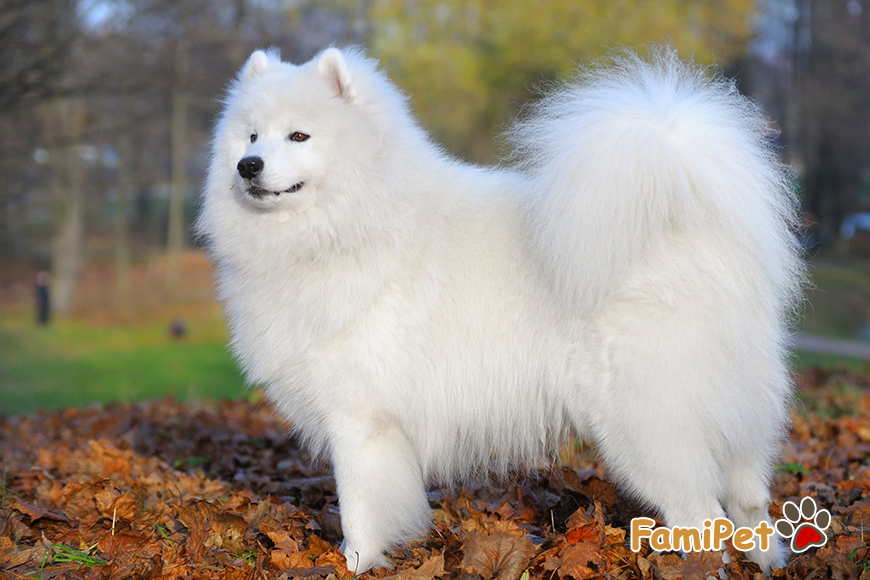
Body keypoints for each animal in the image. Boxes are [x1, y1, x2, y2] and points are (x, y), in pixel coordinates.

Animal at [198, 44, 804, 572]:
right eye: (251, 134)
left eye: (299, 135)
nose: (248, 165)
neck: (358, 222)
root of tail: (692, 235)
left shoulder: (360, 418)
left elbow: (358, 509)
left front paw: (355, 564)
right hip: (734, 421)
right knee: (750, 505)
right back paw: (767, 563)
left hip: (648, 427)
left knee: (702, 516)